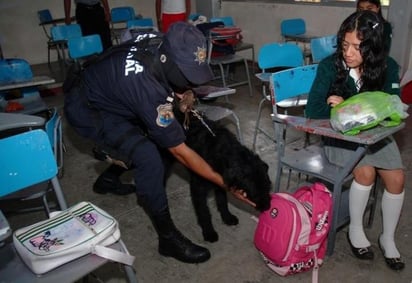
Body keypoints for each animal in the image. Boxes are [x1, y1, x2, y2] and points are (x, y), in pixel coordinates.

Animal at [171, 106, 274, 242]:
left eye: (267, 187)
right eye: (256, 191)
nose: (268, 206)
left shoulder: (219, 180)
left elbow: (222, 201)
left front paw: (227, 217)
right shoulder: (197, 188)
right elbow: (204, 212)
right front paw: (209, 232)